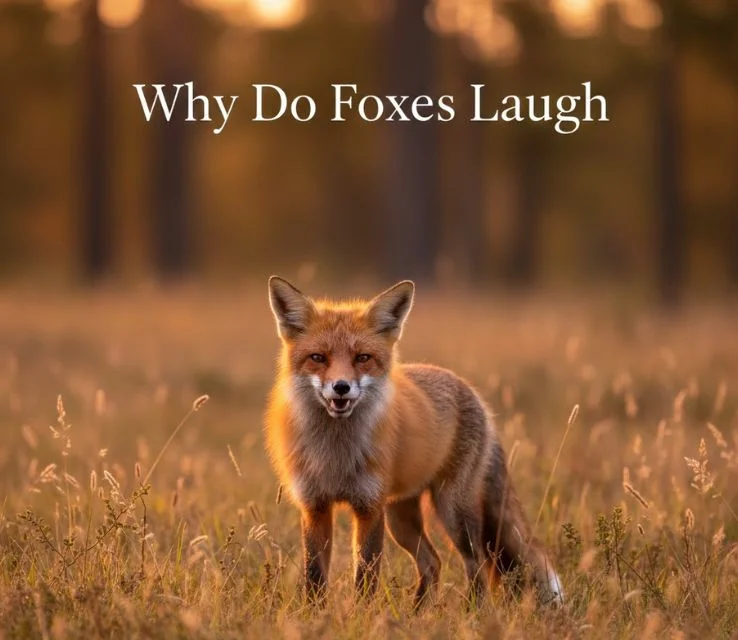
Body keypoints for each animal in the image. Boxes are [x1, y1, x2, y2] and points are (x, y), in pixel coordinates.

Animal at [264, 276, 563, 608]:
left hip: (452, 512)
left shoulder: (369, 507)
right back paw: (417, 613)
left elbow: (365, 577)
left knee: (477, 565)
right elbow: (314, 577)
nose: (341, 387)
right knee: (432, 563)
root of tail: (473, 393)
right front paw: (313, 615)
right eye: (318, 357)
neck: (335, 454)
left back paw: (472, 612)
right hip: (401, 518)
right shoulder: (314, 506)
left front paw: (362, 617)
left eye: (362, 358)